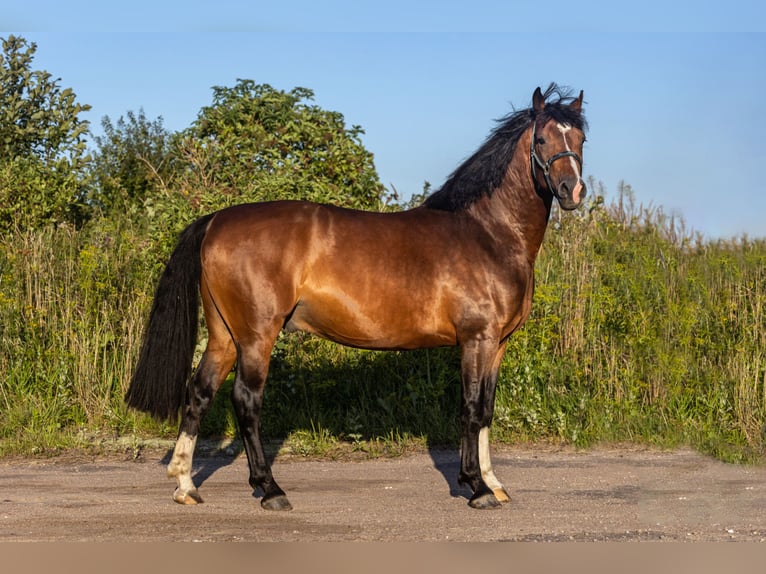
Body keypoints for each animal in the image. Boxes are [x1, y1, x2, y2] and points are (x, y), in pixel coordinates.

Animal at [125, 84, 588, 510]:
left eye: (581, 138)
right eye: (542, 139)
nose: (572, 190)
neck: (486, 232)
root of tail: (216, 220)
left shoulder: (497, 344)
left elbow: (487, 410)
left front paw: (493, 482)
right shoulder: (477, 339)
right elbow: (471, 409)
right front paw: (476, 487)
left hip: (225, 334)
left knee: (199, 392)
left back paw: (185, 485)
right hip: (256, 335)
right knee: (247, 401)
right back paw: (270, 490)